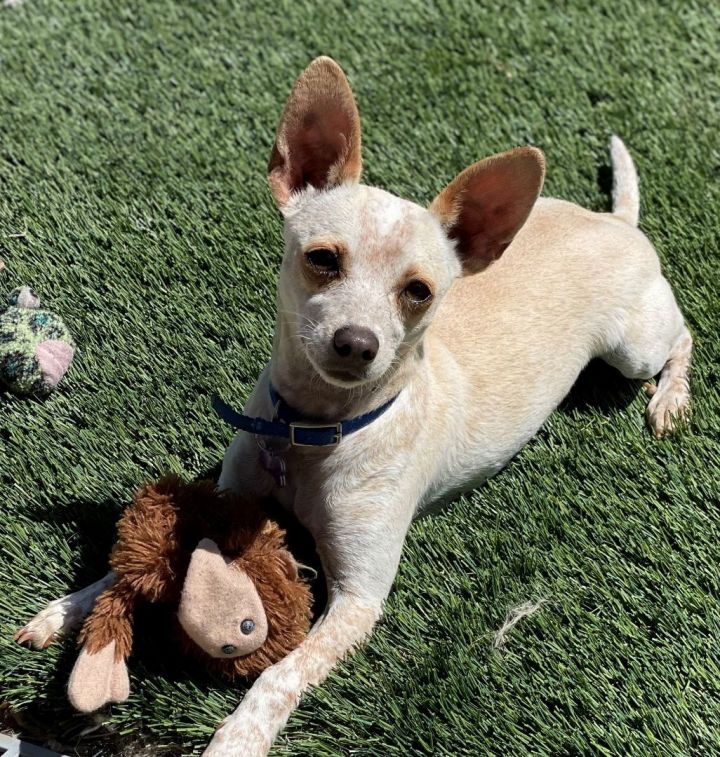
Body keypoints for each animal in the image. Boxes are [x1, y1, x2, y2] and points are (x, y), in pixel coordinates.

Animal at [16, 56, 692, 752]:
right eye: (322, 259)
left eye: (419, 292)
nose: (357, 343)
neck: (314, 429)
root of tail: (617, 222)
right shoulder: (230, 493)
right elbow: (131, 560)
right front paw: (67, 607)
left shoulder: (359, 600)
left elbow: (279, 675)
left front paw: (238, 737)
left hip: (632, 346)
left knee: (683, 336)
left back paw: (670, 398)